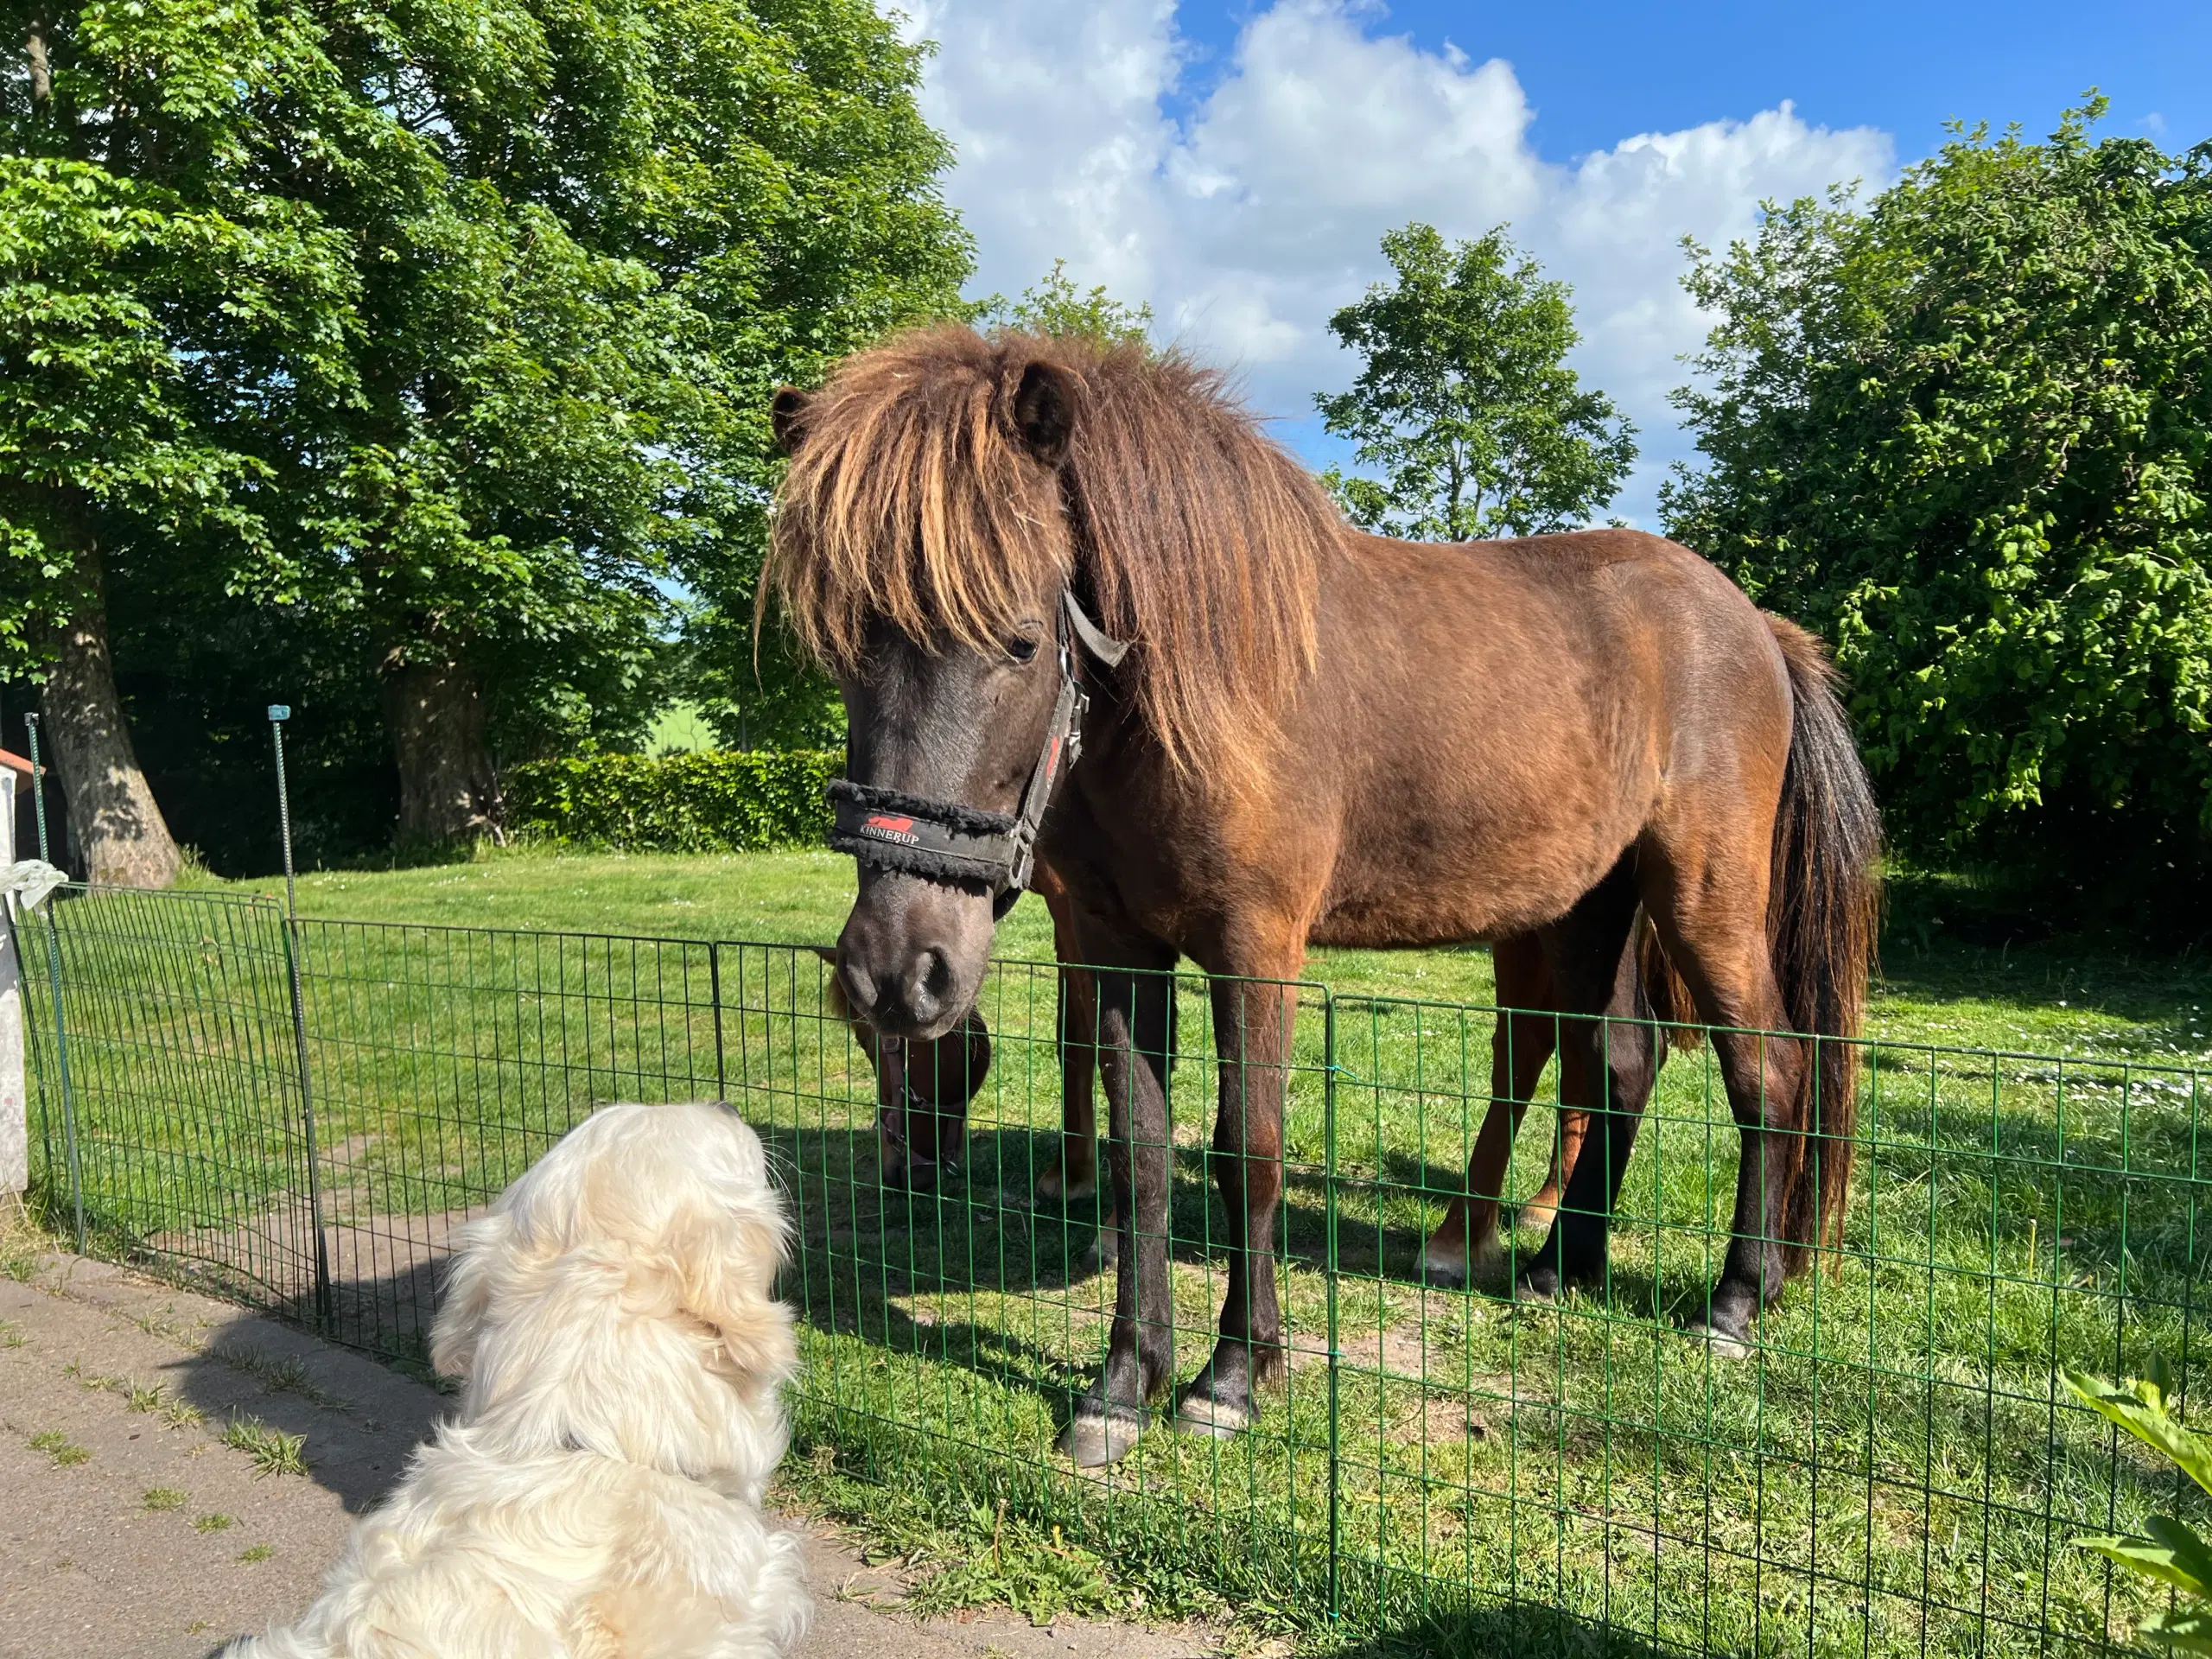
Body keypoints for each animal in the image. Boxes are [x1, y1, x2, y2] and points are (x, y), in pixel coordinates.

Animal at [769, 325, 1875, 1468]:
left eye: (1022, 639)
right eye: (837, 648)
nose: (897, 973)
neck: (1201, 680)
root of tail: (1754, 624)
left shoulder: (1255, 949)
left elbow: (1245, 1150)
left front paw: (1231, 1376)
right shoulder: (1119, 945)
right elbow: (1141, 1154)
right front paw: (1123, 1385)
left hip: (1703, 898)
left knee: (1766, 1073)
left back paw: (1734, 1301)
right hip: (1586, 910)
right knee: (1618, 1066)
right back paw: (1556, 1268)